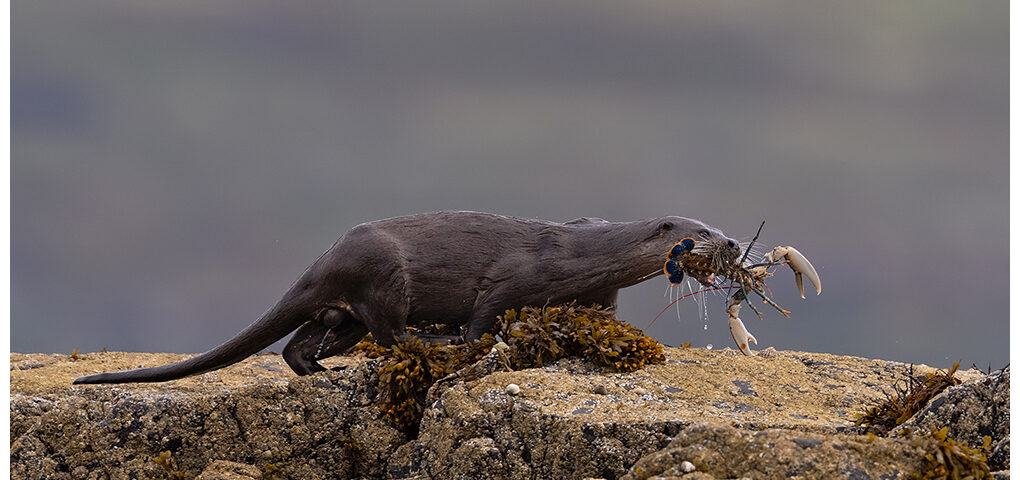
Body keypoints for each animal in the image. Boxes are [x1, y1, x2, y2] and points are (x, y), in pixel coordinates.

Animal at [73, 211, 742, 385]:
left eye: (717, 225)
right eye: (701, 233)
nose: (734, 241)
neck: (584, 252)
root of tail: (326, 259)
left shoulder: (601, 294)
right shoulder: (516, 278)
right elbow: (483, 317)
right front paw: (470, 346)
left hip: (343, 307)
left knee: (304, 342)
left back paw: (321, 371)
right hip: (383, 277)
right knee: (391, 331)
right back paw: (427, 342)